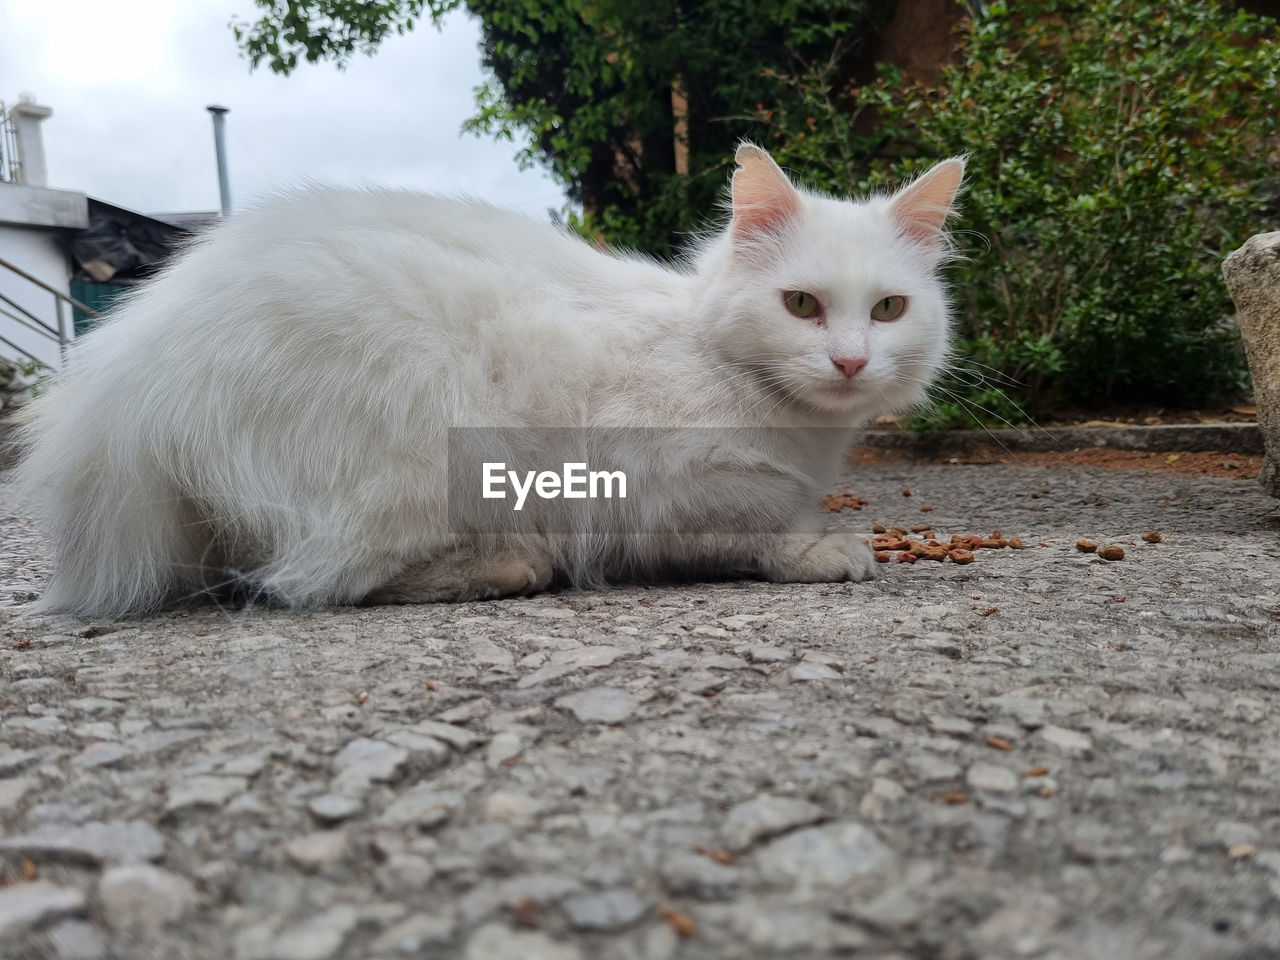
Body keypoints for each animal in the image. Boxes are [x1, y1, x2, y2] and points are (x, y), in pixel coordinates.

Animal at [17, 147, 962, 619]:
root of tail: (128, 375)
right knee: (313, 580)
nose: (851, 361)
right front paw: (825, 548)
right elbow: (752, 530)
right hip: (425, 443)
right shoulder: (655, 485)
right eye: (801, 304)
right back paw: (507, 565)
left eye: (887, 309)